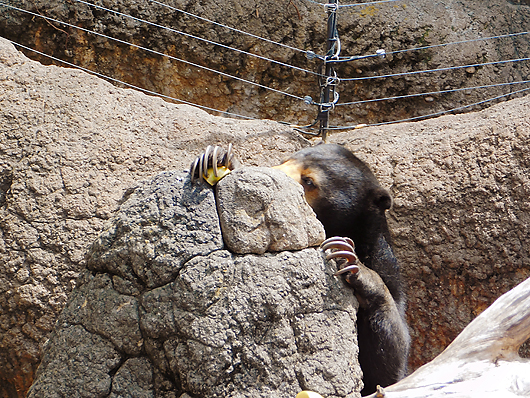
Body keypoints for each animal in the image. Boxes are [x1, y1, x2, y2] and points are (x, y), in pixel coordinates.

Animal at [190, 143, 408, 394]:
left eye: (309, 181)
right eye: (284, 161)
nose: (272, 176)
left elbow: (389, 365)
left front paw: (348, 260)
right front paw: (216, 158)